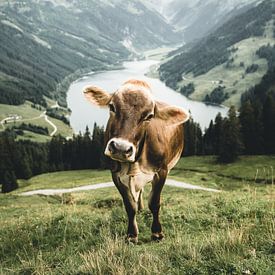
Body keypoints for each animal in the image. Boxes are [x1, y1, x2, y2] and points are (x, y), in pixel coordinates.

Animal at [84, 79, 190, 244]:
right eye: (112, 107)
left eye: (149, 116)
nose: (121, 148)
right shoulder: (115, 174)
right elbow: (129, 205)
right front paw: (131, 235)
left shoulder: (162, 171)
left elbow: (154, 202)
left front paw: (157, 233)